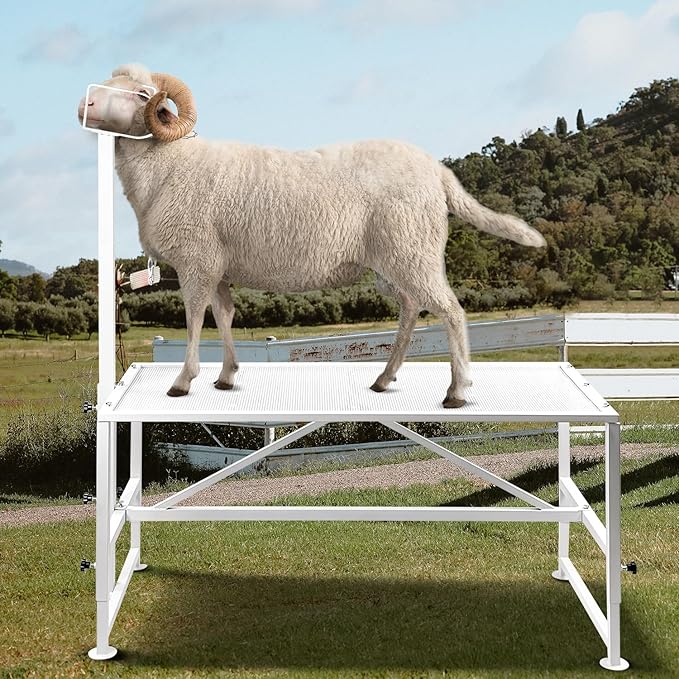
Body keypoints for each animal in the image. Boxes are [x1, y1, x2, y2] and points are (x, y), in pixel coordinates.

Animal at [78, 64, 546, 407]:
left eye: (143, 94)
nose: (85, 102)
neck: (169, 163)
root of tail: (437, 171)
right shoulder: (218, 266)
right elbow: (224, 316)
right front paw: (226, 376)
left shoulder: (197, 260)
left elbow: (194, 319)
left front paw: (182, 381)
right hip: (395, 261)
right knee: (412, 309)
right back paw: (385, 378)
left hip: (413, 250)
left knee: (451, 311)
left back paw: (457, 391)